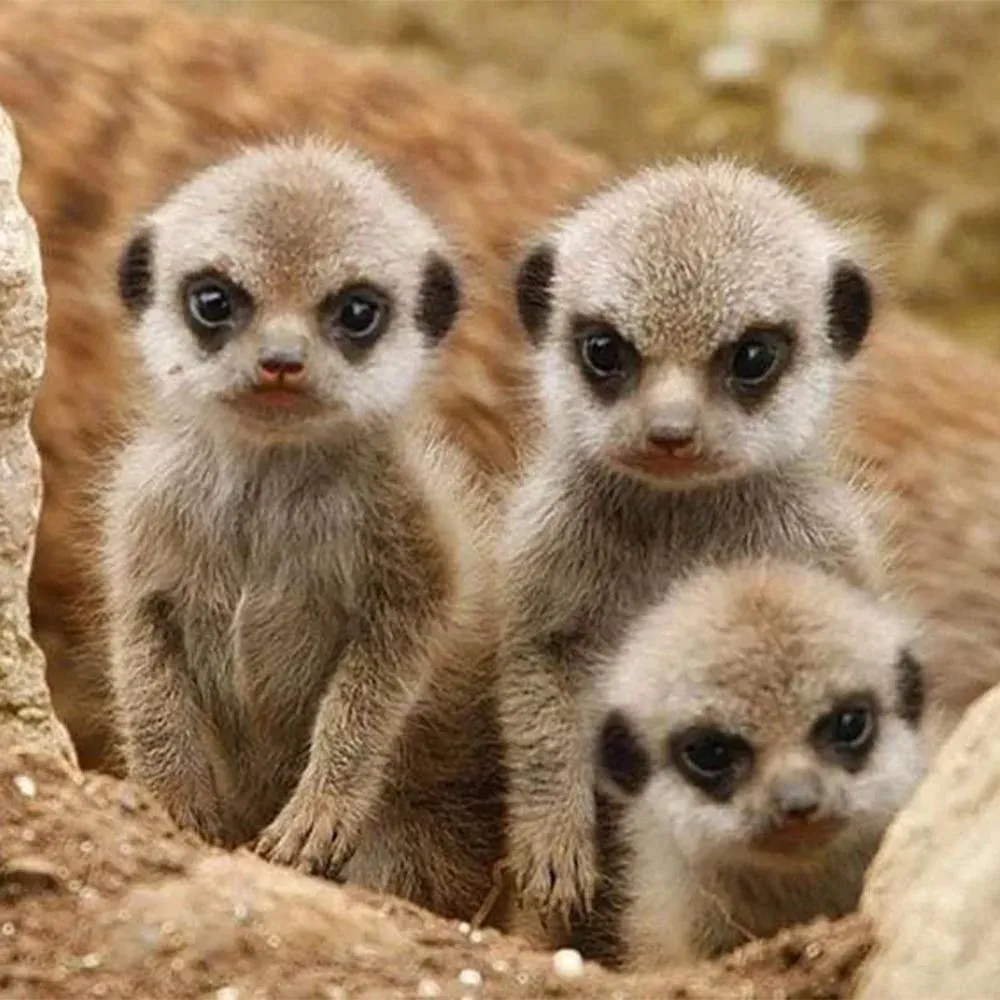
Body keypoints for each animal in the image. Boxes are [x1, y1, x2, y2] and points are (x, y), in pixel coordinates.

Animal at [100, 137, 505, 921]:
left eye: (357, 310)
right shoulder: (145, 516)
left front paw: (318, 811)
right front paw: (174, 801)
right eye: (214, 299)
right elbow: (141, 648)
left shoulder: (411, 533)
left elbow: (384, 669)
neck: (267, 481)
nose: (280, 362)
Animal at [497, 158, 888, 936]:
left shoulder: (828, 546)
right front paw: (554, 841)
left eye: (753, 355)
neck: (682, 515)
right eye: (604, 350)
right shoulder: (543, 539)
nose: (671, 432)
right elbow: (536, 666)